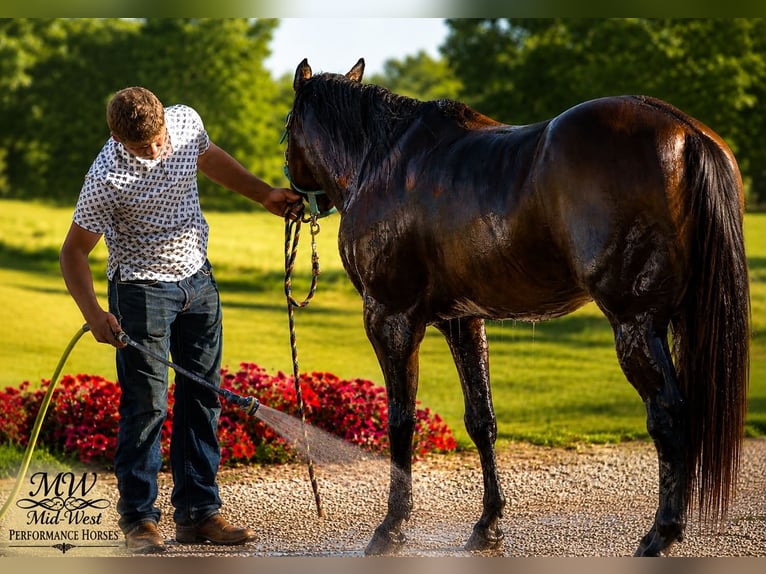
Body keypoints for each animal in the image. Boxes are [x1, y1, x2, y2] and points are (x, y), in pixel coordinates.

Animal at [284, 58, 750, 557]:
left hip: (636, 324)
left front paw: (391, 528)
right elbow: (481, 419)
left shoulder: (391, 318)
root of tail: (685, 132)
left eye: (287, 124)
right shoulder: (463, 320)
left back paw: (659, 535)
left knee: (669, 415)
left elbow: (401, 421)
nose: (290, 197)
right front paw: (487, 526)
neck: (383, 161)